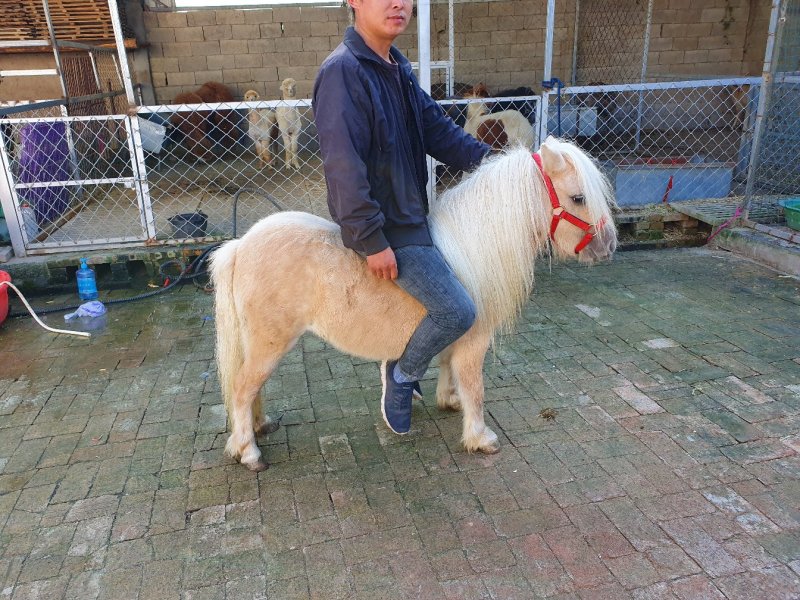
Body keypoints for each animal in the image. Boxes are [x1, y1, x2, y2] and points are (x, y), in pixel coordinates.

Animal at [210, 136, 618, 471]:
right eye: (578, 197)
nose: (608, 246)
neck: (470, 249)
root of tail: (240, 246)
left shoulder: (455, 335)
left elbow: (449, 368)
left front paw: (449, 401)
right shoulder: (474, 340)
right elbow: (475, 387)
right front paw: (479, 437)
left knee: (250, 388)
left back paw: (259, 428)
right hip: (270, 343)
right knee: (243, 388)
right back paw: (248, 451)